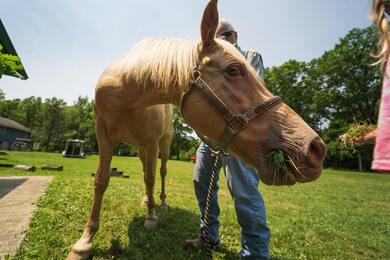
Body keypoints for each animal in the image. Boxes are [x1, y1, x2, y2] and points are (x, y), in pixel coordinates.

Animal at [67, 0, 326, 258]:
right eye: (233, 70)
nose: (315, 148)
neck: (128, 93)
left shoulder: (151, 142)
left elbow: (151, 178)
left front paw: (151, 217)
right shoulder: (103, 136)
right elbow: (101, 181)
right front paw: (84, 242)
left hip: (162, 146)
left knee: (160, 173)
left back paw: (159, 204)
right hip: (141, 149)